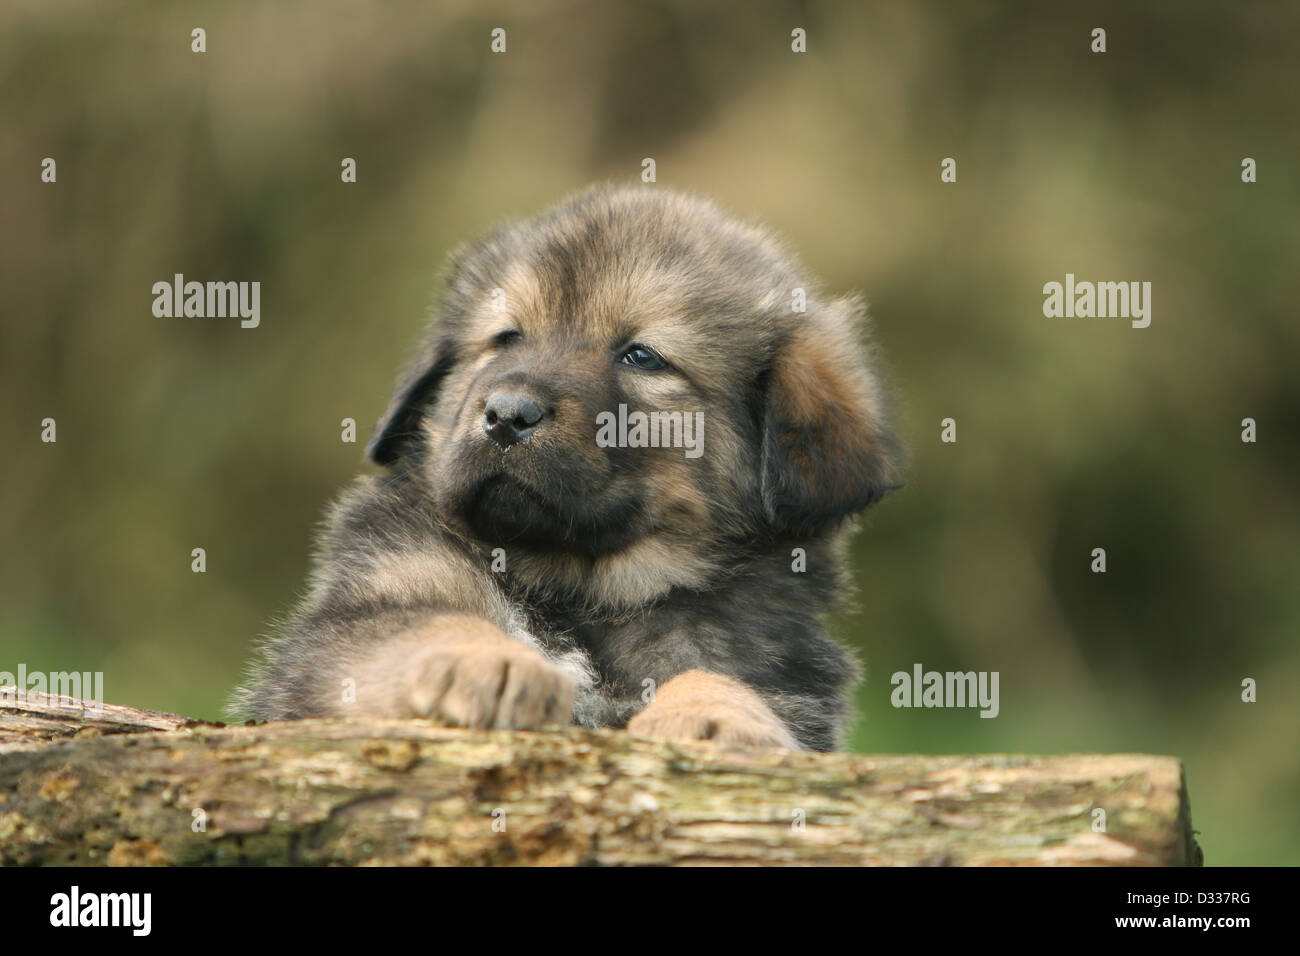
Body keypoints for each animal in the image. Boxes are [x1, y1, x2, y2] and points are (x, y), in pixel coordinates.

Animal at [233, 183, 899, 749]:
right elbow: (421, 624)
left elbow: (718, 676)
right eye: (506, 338)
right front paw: (491, 661)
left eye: (642, 356)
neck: (580, 591)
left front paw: (719, 716)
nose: (506, 415)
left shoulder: (774, 672)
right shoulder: (347, 631)